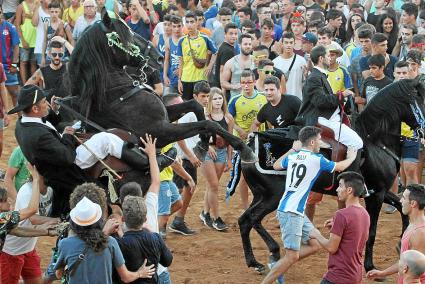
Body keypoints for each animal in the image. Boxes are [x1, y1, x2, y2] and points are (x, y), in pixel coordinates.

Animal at [234, 78, 424, 272]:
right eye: (420, 101)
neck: (375, 140)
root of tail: (248, 146)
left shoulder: (380, 190)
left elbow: (402, 208)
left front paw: (401, 244)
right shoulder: (376, 194)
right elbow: (372, 232)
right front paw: (369, 266)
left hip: (261, 194)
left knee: (245, 220)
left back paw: (258, 259)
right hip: (273, 195)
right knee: (250, 219)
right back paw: (266, 255)